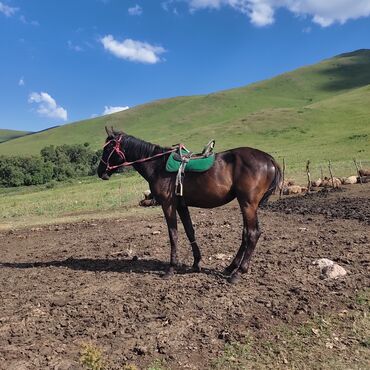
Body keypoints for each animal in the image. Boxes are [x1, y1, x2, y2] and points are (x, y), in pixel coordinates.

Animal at [97, 127, 282, 284]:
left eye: (108, 148)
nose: (100, 172)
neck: (158, 166)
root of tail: (269, 159)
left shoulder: (168, 205)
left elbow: (173, 234)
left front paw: (171, 268)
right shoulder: (181, 205)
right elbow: (189, 231)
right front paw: (196, 263)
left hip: (248, 203)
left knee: (252, 233)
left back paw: (239, 272)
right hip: (246, 204)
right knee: (246, 234)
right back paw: (231, 267)